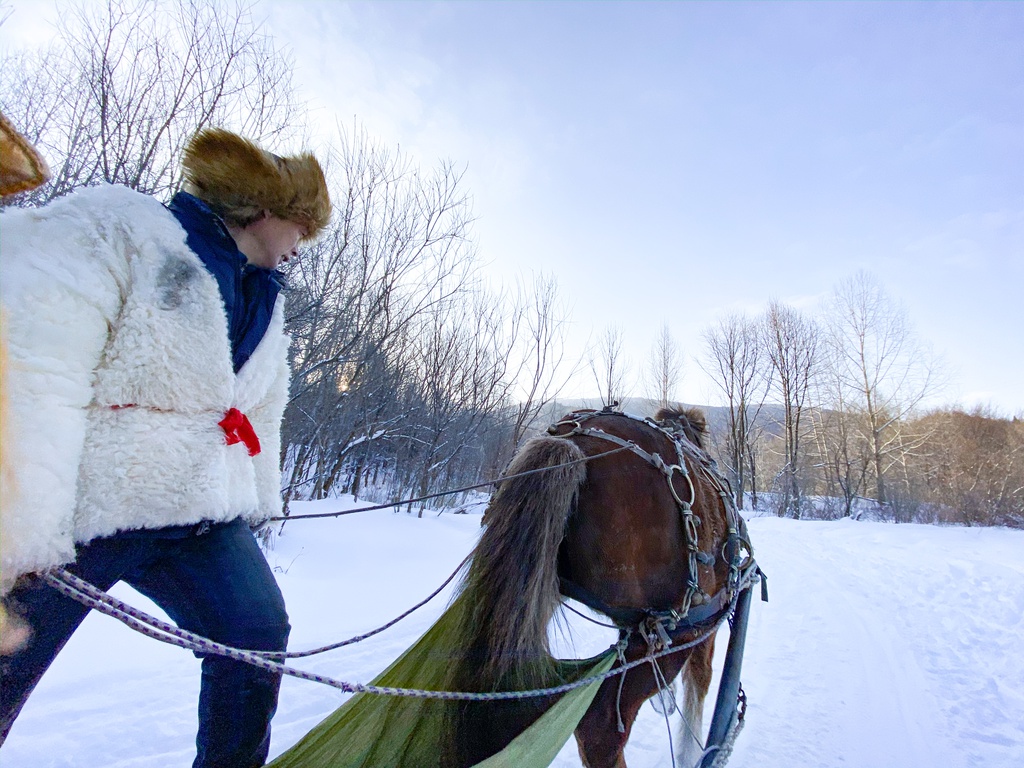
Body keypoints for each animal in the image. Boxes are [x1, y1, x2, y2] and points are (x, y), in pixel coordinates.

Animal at [438, 405, 745, 765]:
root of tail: (572, 445)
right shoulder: (708, 619)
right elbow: (701, 679)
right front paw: (693, 751)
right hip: (673, 629)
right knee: (600, 727)